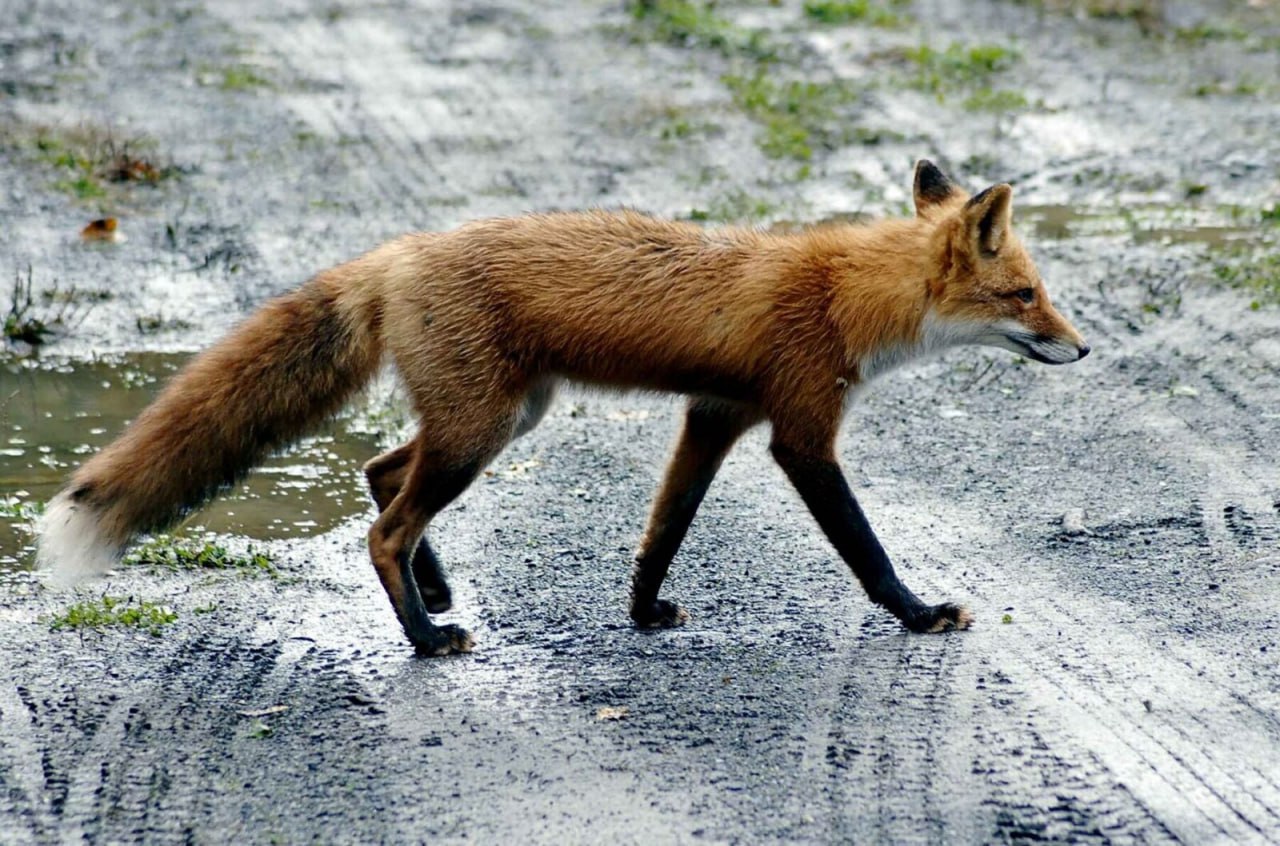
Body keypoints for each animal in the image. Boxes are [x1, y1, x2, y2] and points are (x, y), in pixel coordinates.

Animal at [37, 163, 1090, 652]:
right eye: (1027, 296)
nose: (1085, 349)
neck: (844, 295)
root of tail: (398, 252)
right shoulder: (799, 431)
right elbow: (866, 551)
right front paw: (918, 615)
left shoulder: (713, 415)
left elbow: (664, 528)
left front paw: (641, 610)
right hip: (483, 430)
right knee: (383, 524)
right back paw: (426, 637)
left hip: (502, 418)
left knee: (378, 474)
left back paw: (435, 592)